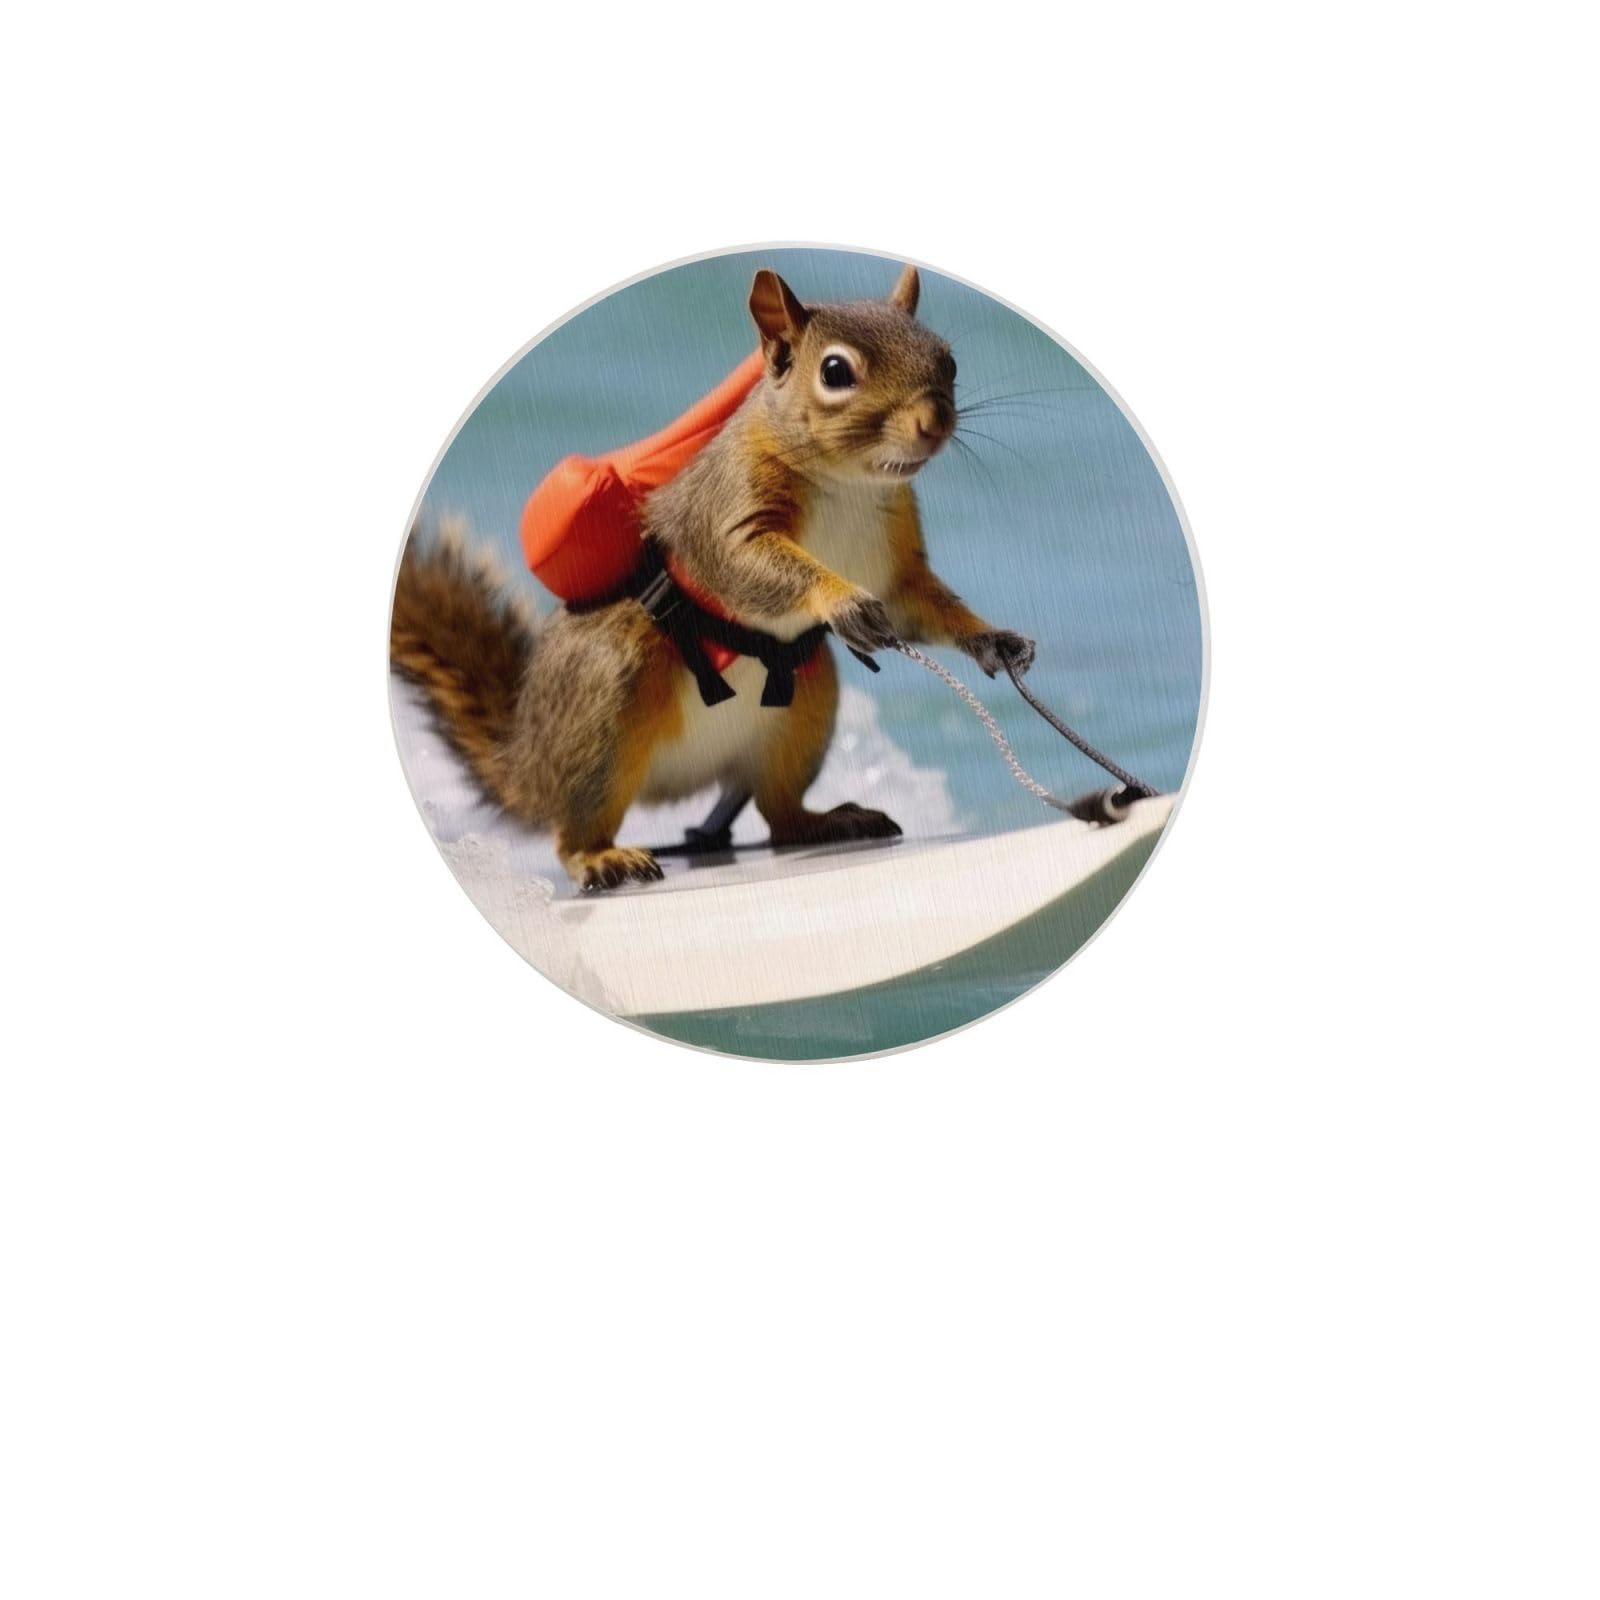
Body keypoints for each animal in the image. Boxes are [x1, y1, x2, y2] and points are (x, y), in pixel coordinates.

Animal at [391, 263, 1036, 891]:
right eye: (835, 371)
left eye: (948, 360)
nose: (935, 422)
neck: (849, 483)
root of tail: (529, 765)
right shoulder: (727, 512)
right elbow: (745, 565)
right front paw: (842, 601)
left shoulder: (895, 561)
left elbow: (921, 606)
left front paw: (994, 640)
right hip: (609, 695)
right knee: (572, 830)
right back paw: (601, 858)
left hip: (804, 710)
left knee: (779, 815)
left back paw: (828, 821)